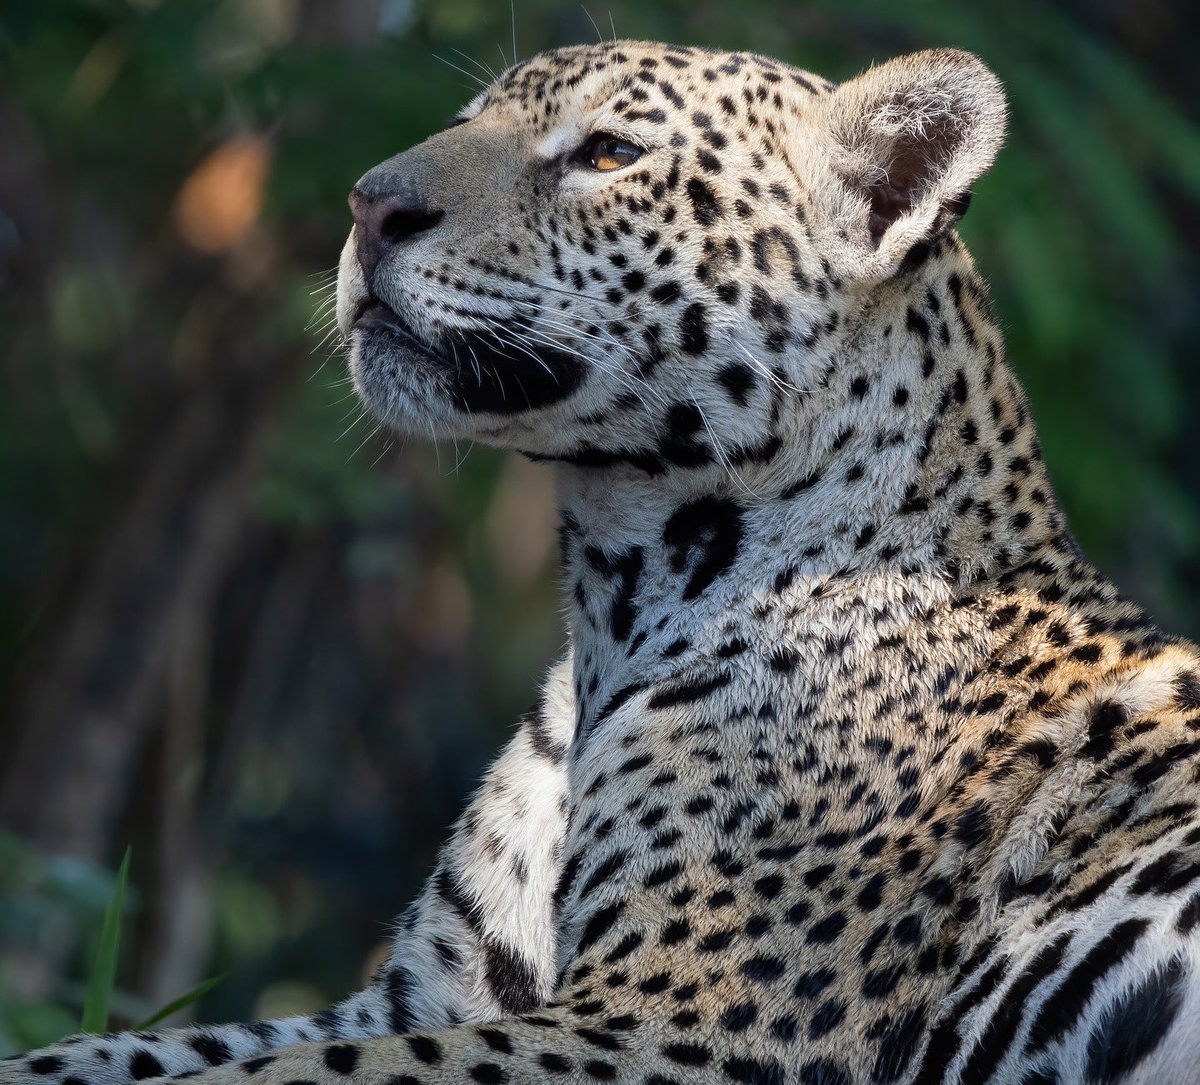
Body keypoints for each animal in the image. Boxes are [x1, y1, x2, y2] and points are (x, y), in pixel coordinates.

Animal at [7, 37, 1200, 1085]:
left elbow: (281, 1075)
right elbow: (125, 1049)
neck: (616, 600)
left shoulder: (679, 1023)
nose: (367, 205)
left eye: (611, 155)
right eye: (468, 121)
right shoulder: (413, 997)